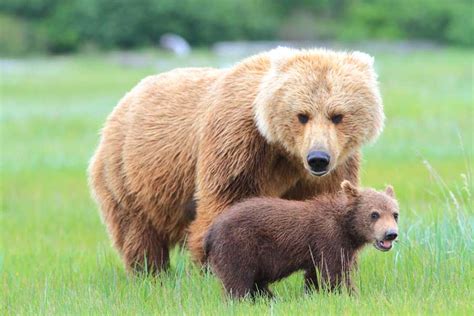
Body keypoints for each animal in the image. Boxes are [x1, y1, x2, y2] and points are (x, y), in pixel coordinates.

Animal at [89, 47, 386, 274]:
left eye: (338, 116)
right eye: (302, 115)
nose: (318, 159)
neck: (284, 152)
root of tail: (124, 100)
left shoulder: (333, 167)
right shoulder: (238, 144)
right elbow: (228, 201)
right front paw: (215, 266)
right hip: (130, 173)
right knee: (138, 231)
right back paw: (150, 273)